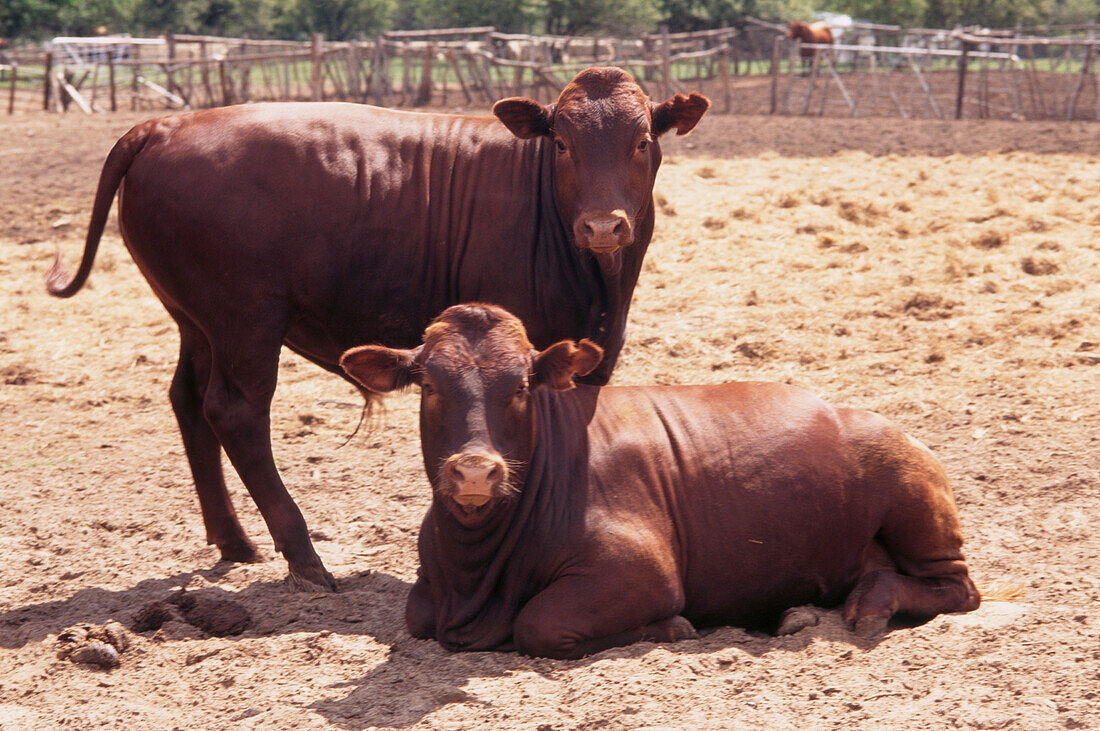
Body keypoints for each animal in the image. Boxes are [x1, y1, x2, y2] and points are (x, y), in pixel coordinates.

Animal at [338, 301, 976, 655]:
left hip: (915, 503)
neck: (473, 571)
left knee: (956, 587)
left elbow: (537, 623)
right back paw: (800, 612)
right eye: (428, 384)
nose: (475, 469)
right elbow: (416, 613)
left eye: (521, 385)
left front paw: (671, 627)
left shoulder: (641, 569)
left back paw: (871, 601)